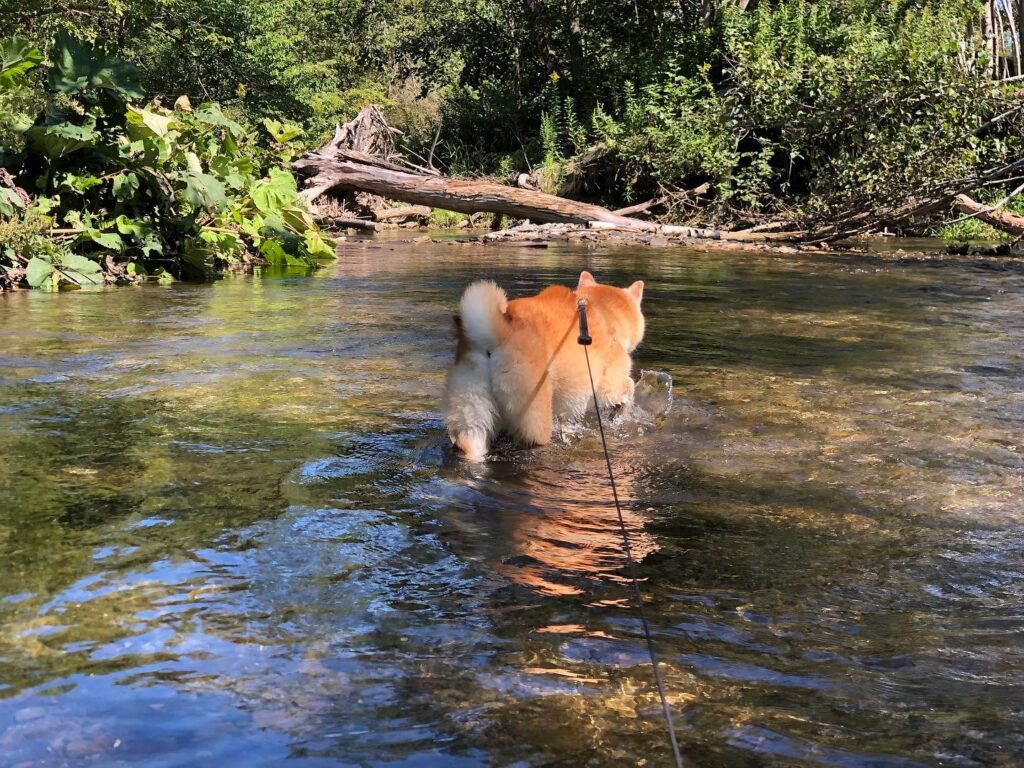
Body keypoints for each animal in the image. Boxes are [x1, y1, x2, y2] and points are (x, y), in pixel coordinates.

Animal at [444, 272, 643, 460]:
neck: (602, 310)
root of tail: (496, 335)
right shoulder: (608, 386)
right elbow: (629, 387)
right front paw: (621, 412)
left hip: (472, 410)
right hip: (534, 414)